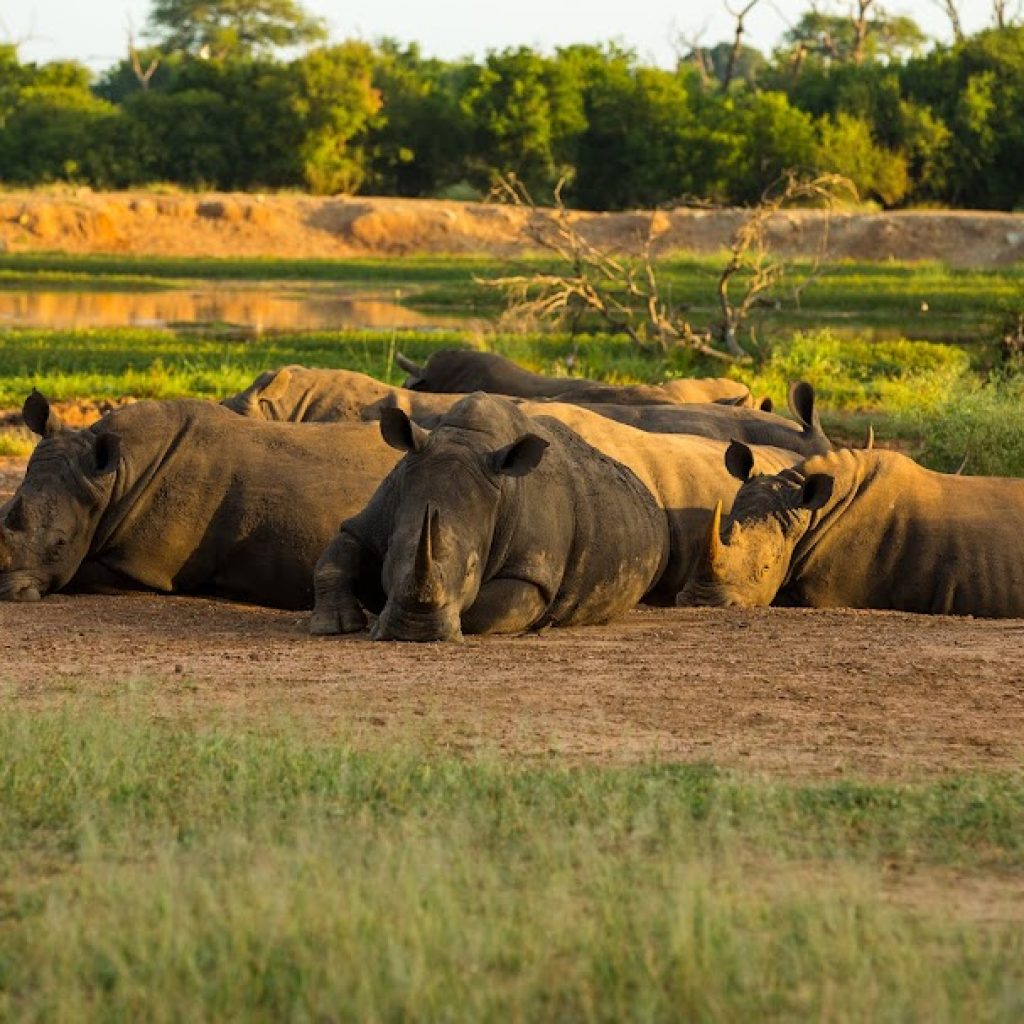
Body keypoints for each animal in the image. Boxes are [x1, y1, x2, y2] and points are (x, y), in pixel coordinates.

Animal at [310, 395, 800, 640]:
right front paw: (337, 625)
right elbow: (336, 556)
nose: (414, 631)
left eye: (472, 569)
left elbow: (492, 608)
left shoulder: (532, 568)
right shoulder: (382, 509)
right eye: (393, 554)